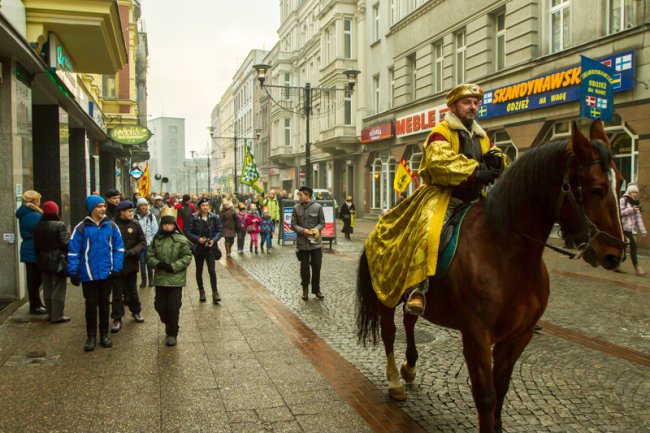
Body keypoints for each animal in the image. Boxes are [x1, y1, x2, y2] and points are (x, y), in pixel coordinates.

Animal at [356, 120, 624, 432]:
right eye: (596, 189)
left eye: (620, 181)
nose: (615, 254)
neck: (507, 253)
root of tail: (383, 220)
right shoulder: (476, 336)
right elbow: (485, 395)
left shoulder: (518, 336)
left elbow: (502, 388)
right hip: (386, 292)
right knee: (389, 334)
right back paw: (396, 383)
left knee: (410, 321)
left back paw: (409, 367)